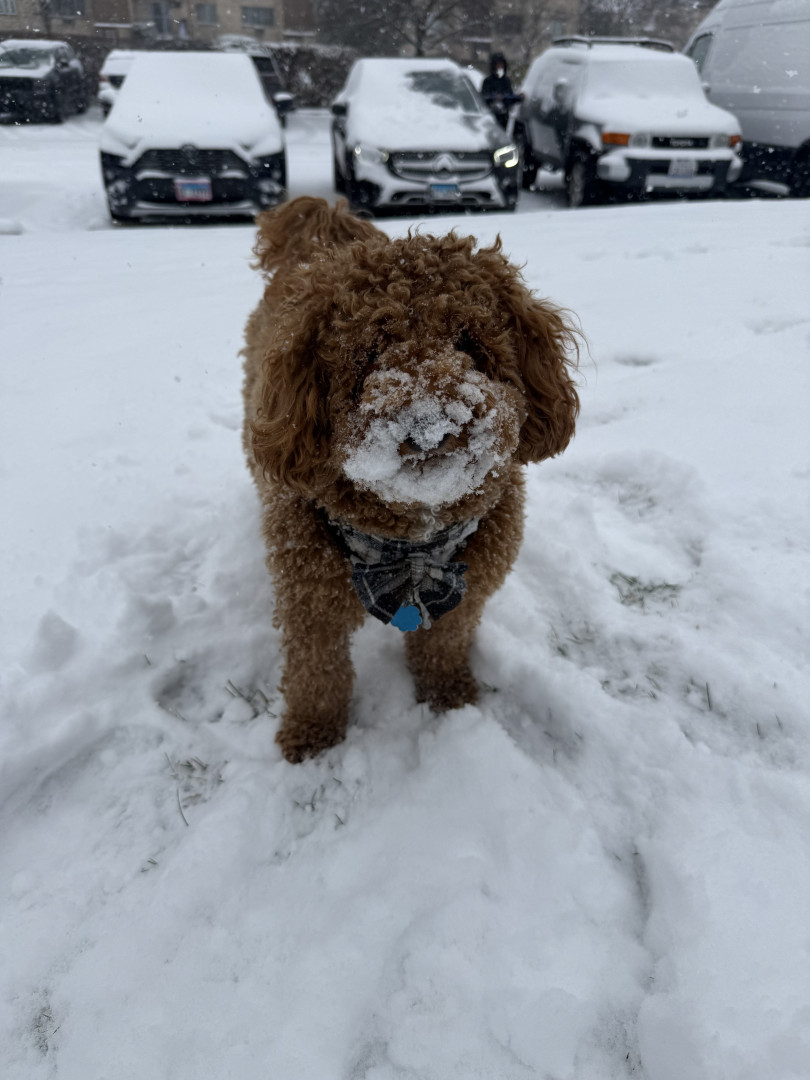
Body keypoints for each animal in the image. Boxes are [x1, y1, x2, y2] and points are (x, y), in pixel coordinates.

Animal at [242, 197, 580, 762]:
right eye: (370, 353)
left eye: (469, 341)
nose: (431, 425)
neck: (412, 547)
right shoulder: (309, 602)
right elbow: (317, 673)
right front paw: (312, 735)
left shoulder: (465, 590)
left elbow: (443, 645)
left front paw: (448, 696)